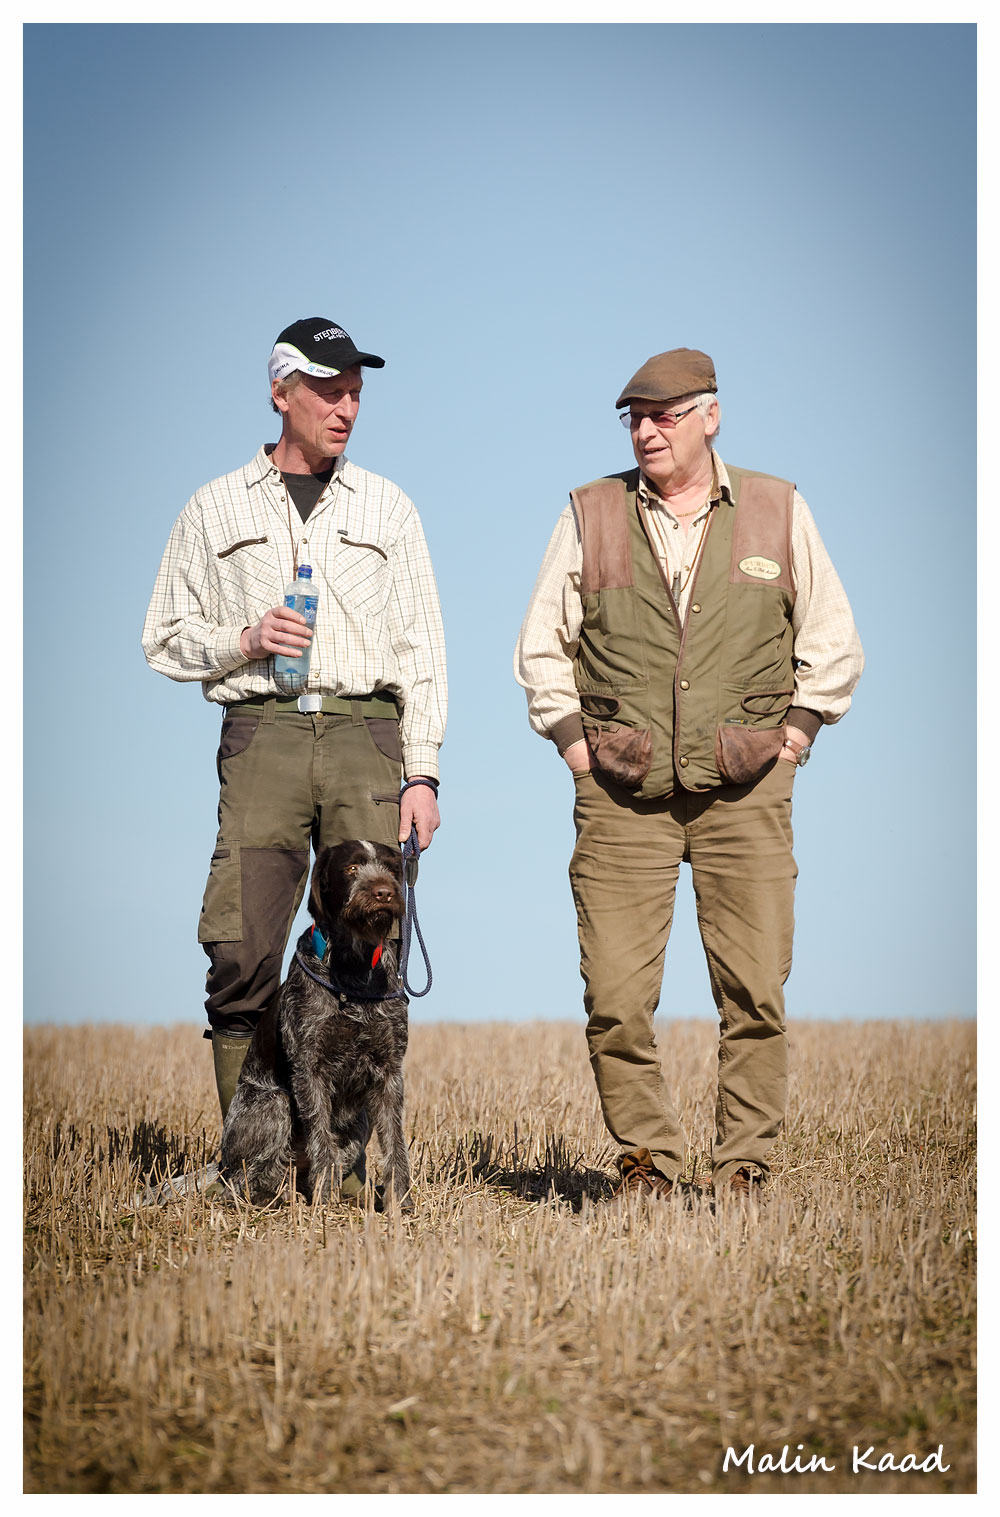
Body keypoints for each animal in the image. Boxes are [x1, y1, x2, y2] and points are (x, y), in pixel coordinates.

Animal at [220, 839, 413, 1211]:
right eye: (351, 869)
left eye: (390, 868)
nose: (384, 892)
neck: (354, 967)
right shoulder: (310, 1068)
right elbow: (321, 1140)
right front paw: (323, 1202)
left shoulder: (389, 1071)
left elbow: (395, 1143)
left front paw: (400, 1202)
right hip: (273, 1104)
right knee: (241, 1181)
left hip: (358, 1121)